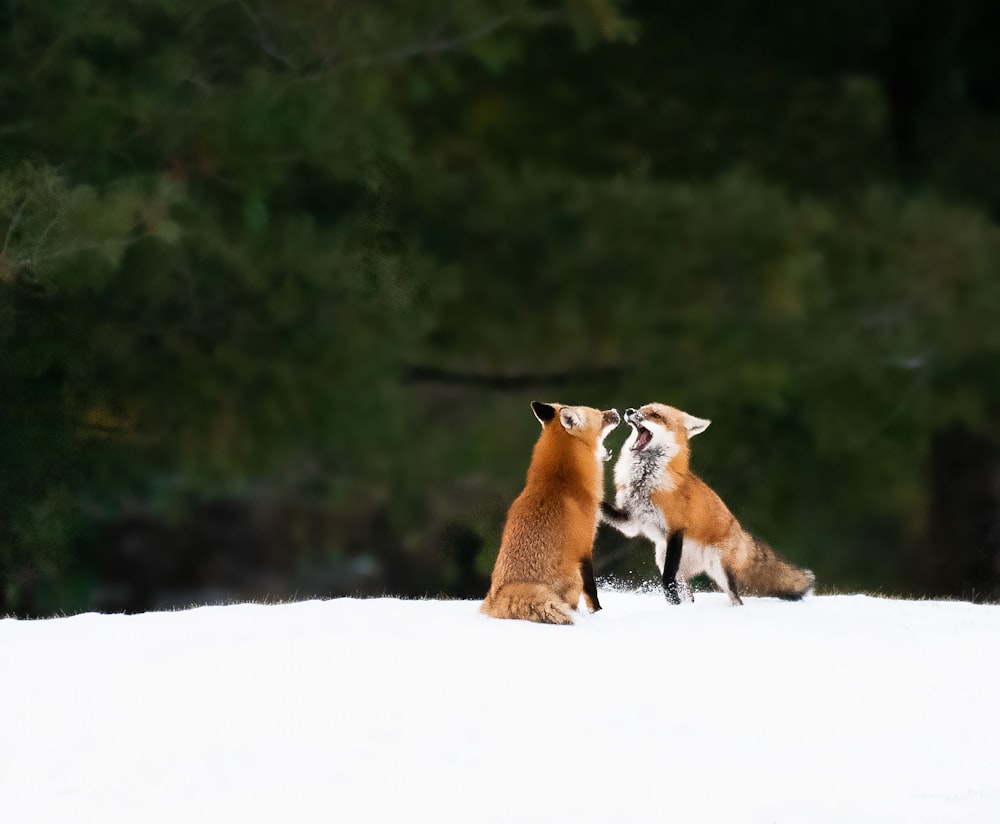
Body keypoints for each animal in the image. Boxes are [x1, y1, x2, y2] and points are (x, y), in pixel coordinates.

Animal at [482, 400, 620, 624]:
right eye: (600, 416)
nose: (616, 412)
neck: (558, 480)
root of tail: (505, 593)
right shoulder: (585, 546)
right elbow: (592, 591)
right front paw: (599, 613)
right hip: (574, 577)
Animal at [596, 404, 816, 604]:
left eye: (655, 415)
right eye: (641, 408)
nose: (629, 411)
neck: (644, 482)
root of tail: (740, 531)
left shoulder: (676, 528)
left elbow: (667, 579)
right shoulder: (631, 521)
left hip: (718, 569)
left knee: (736, 599)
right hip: (664, 558)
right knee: (691, 596)